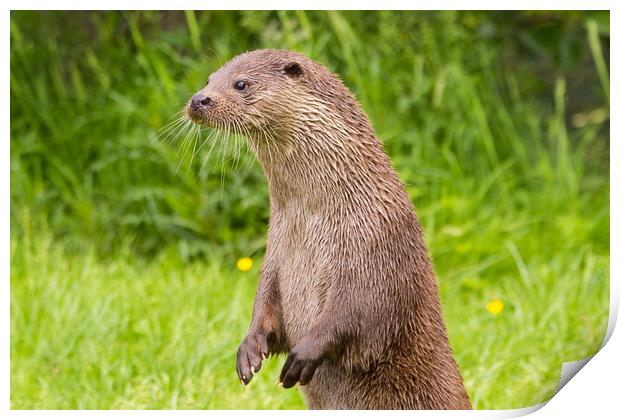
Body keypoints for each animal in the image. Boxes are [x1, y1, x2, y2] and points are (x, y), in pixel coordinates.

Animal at [184, 49, 470, 410]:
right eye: (209, 79)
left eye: (241, 84)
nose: (198, 99)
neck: (320, 214)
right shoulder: (276, 249)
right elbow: (265, 301)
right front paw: (250, 348)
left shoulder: (376, 246)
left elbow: (357, 312)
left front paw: (304, 355)